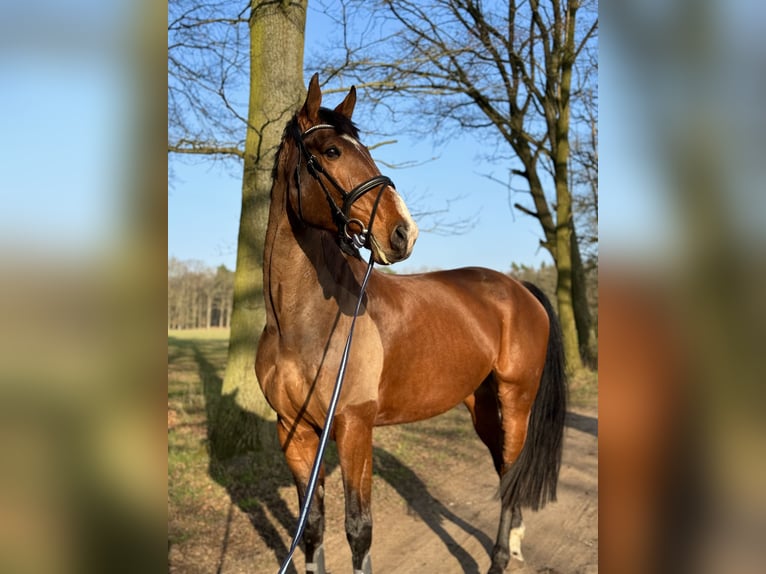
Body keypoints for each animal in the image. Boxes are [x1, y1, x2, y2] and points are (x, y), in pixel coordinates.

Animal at [255, 75, 568, 574]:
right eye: (331, 151)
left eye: (363, 147)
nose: (403, 232)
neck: (300, 327)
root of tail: (519, 289)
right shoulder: (295, 433)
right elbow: (312, 527)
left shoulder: (354, 428)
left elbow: (358, 531)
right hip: (481, 404)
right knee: (504, 469)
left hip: (516, 401)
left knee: (511, 475)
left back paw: (500, 557)